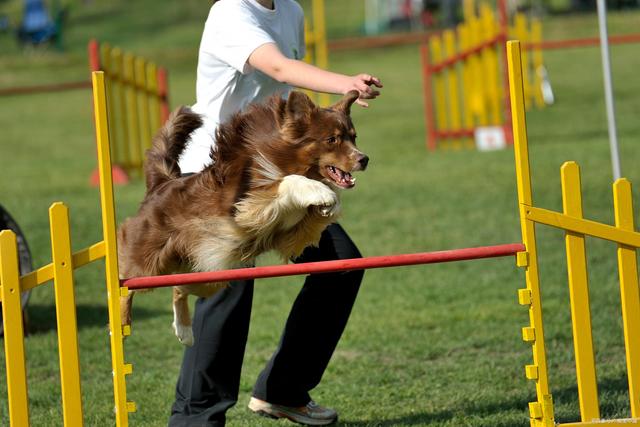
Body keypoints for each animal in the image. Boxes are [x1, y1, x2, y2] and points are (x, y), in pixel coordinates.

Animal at [117, 91, 368, 348]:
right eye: (332, 139)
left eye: (353, 137)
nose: (364, 159)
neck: (287, 159)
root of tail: (161, 183)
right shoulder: (246, 206)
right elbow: (286, 182)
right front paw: (322, 193)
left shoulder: (289, 234)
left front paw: (328, 204)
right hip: (147, 265)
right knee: (125, 284)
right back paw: (122, 322)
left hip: (210, 271)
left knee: (178, 287)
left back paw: (184, 330)